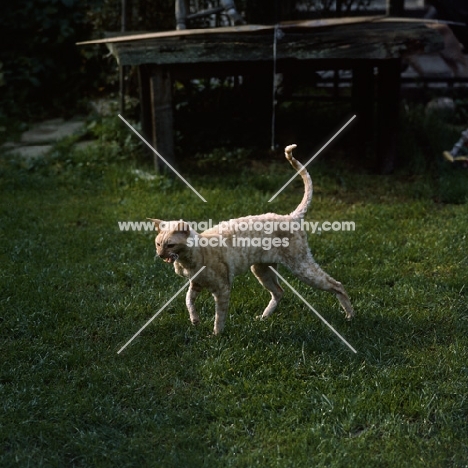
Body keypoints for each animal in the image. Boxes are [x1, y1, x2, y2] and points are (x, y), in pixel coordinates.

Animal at [150, 144, 354, 334]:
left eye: (170, 245)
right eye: (158, 244)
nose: (160, 255)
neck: (187, 261)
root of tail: (290, 216)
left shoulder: (222, 288)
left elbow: (219, 316)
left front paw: (216, 336)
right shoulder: (196, 284)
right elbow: (188, 302)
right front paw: (195, 321)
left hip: (301, 267)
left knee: (337, 284)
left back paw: (350, 316)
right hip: (261, 269)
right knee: (279, 291)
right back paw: (263, 318)